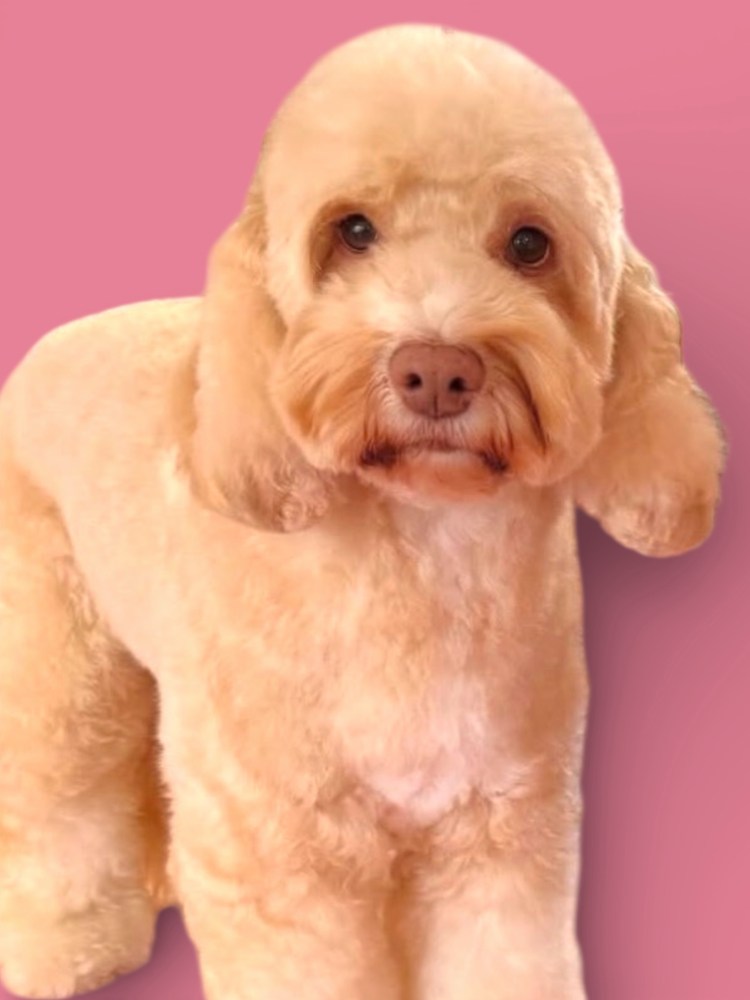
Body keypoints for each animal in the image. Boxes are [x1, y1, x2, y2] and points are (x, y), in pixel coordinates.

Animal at [0, 23, 725, 1000]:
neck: (424, 551)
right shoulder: (283, 856)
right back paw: (61, 943)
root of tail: (50, 340)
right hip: (57, 662)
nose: (438, 370)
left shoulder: (500, 828)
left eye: (529, 243)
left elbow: (503, 952)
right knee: (59, 800)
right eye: (352, 232)